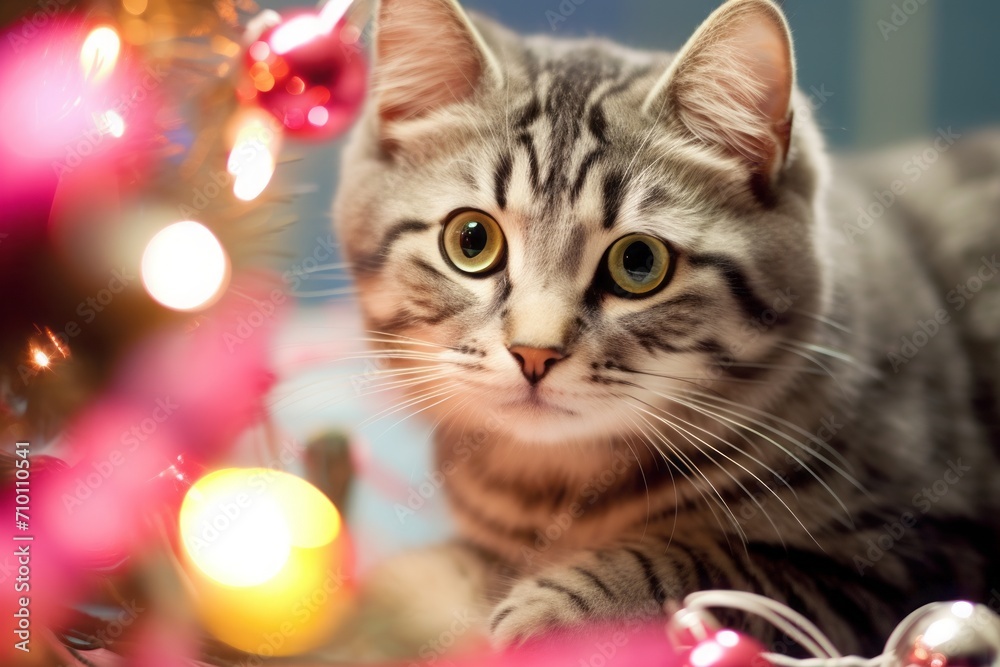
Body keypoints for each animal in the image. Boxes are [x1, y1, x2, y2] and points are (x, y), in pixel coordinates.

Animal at [334, 0, 1000, 652]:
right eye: (471, 240)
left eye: (639, 263)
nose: (533, 352)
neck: (555, 488)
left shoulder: (910, 554)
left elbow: (701, 565)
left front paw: (550, 608)